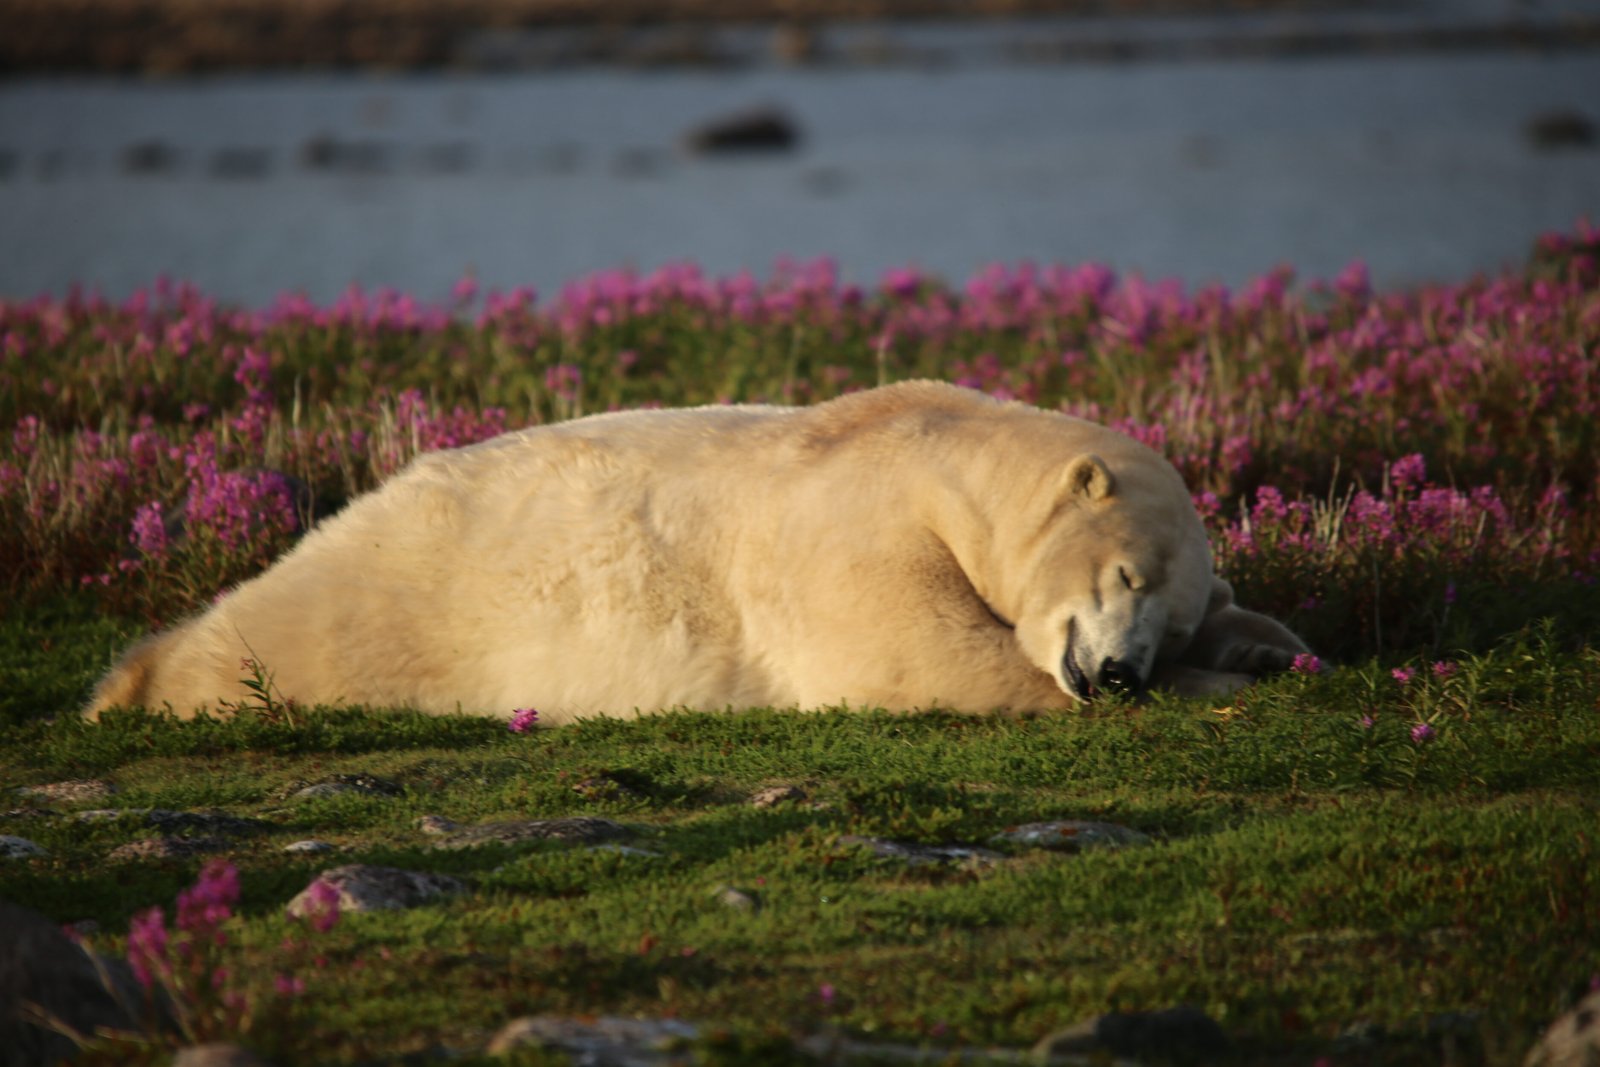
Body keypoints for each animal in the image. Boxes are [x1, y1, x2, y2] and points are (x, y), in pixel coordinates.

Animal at [87, 382, 1305, 726]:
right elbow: (920, 659)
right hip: (354, 617)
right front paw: (1223, 681)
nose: (1119, 672)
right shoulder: (854, 531)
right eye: (1122, 576)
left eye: (1166, 614)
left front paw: (1266, 645)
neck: (938, 448)